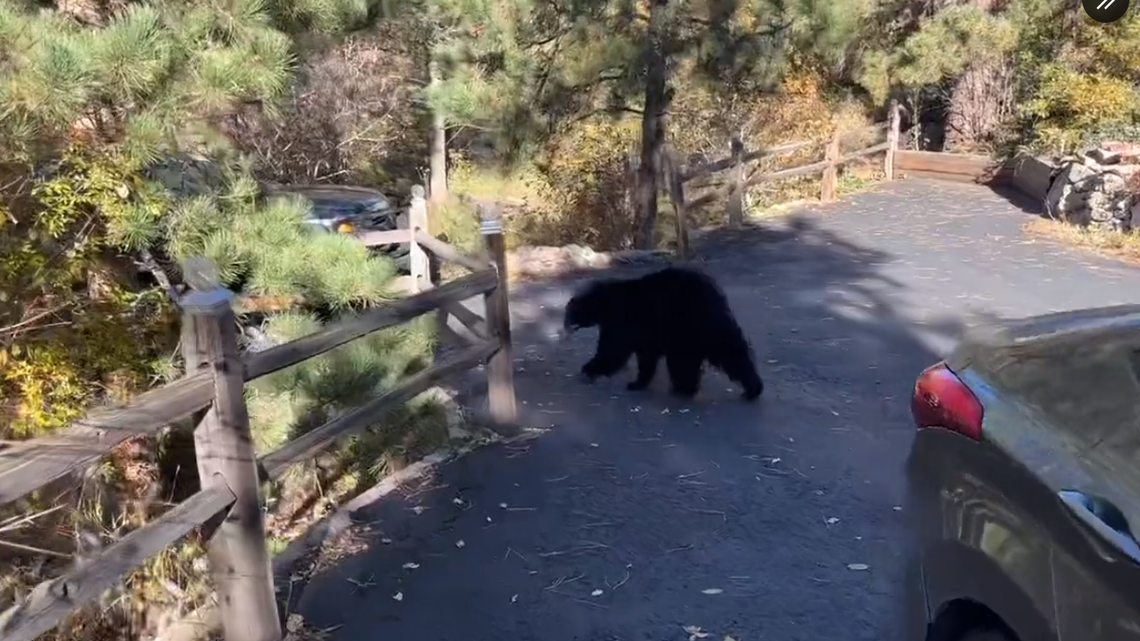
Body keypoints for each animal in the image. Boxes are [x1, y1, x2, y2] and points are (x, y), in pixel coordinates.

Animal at [561, 266, 764, 401]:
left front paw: (588, 370)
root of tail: (716, 291)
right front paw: (638, 382)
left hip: (690, 322)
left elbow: (612, 350)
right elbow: (645, 356)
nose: (565, 326)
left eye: (569, 311)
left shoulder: (623, 320)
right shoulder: (643, 333)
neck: (604, 303)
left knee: (699, 356)